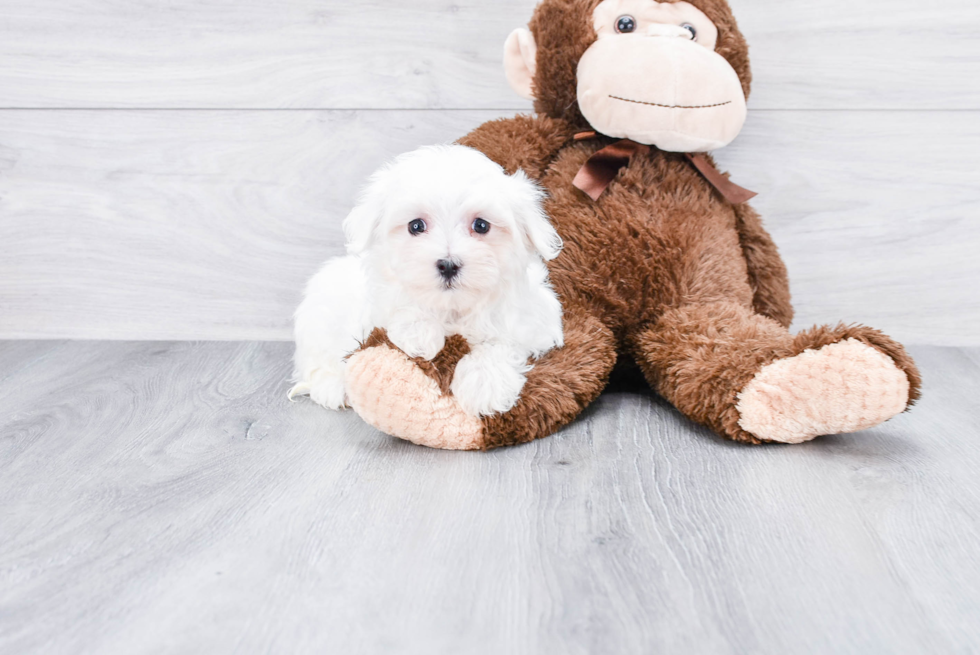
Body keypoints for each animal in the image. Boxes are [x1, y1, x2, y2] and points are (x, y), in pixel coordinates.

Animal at [290, 146, 564, 418]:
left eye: (481, 225)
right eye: (416, 226)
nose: (448, 265)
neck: (452, 308)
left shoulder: (534, 323)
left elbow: (503, 341)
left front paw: (485, 383)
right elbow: (401, 305)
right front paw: (420, 334)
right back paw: (332, 387)